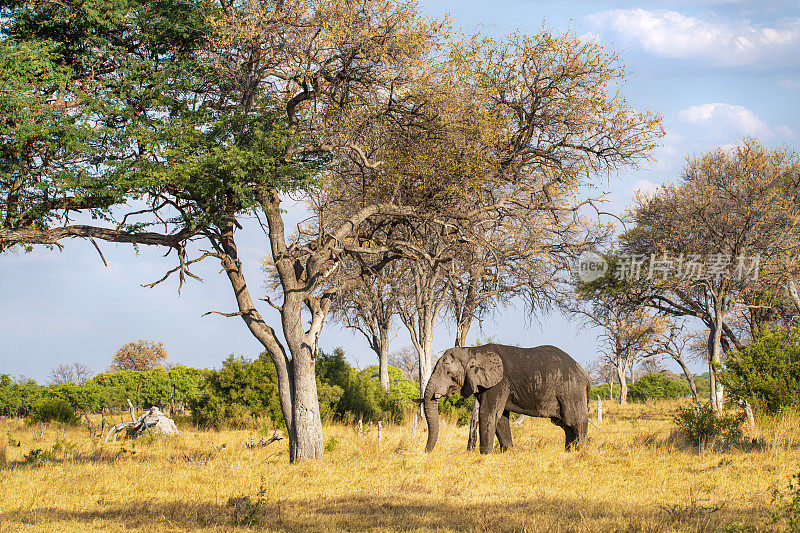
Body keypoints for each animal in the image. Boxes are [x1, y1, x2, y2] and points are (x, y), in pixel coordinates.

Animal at [422, 340, 592, 454]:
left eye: (448, 373)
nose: (426, 452)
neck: (472, 351)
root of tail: (584, 374)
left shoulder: (499, 382)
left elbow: (487, 413)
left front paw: (484, 456)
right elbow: (500, 417)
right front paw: (507, 453)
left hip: (571, 389)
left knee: (575, 421)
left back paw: (579, 452)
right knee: (566, 425)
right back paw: (569, 452)